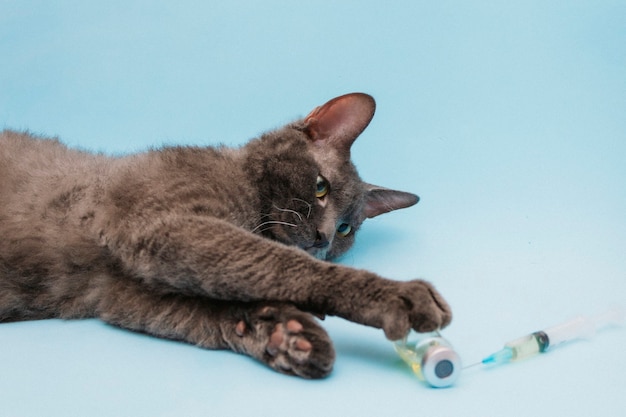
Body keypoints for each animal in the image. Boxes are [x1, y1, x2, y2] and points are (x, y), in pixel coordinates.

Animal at [0, 93, 448, 376]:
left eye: (345, 229)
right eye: (320, 188)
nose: (323, 237)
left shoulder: (119, 292)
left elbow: (208, 312)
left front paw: (284, 335)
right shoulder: (168, 225)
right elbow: (279, 262)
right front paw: (397, 295)